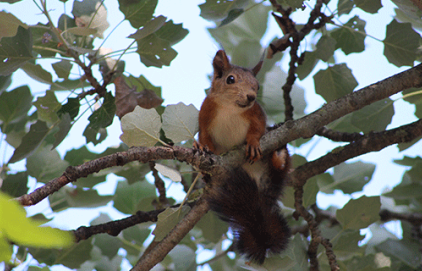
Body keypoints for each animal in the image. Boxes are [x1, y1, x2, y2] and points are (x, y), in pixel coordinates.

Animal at [195, 50, 290, 266]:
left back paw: (279, 156)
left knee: (278, 172)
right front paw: (201, 147)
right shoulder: (205, 117)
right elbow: (205, 138)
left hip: (270, 171)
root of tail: (262, 196)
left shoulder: (257, 114)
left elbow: (257, 130)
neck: (230, 108)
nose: (251, 96)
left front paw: (253, 143)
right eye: (230, 79)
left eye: (257, 86)